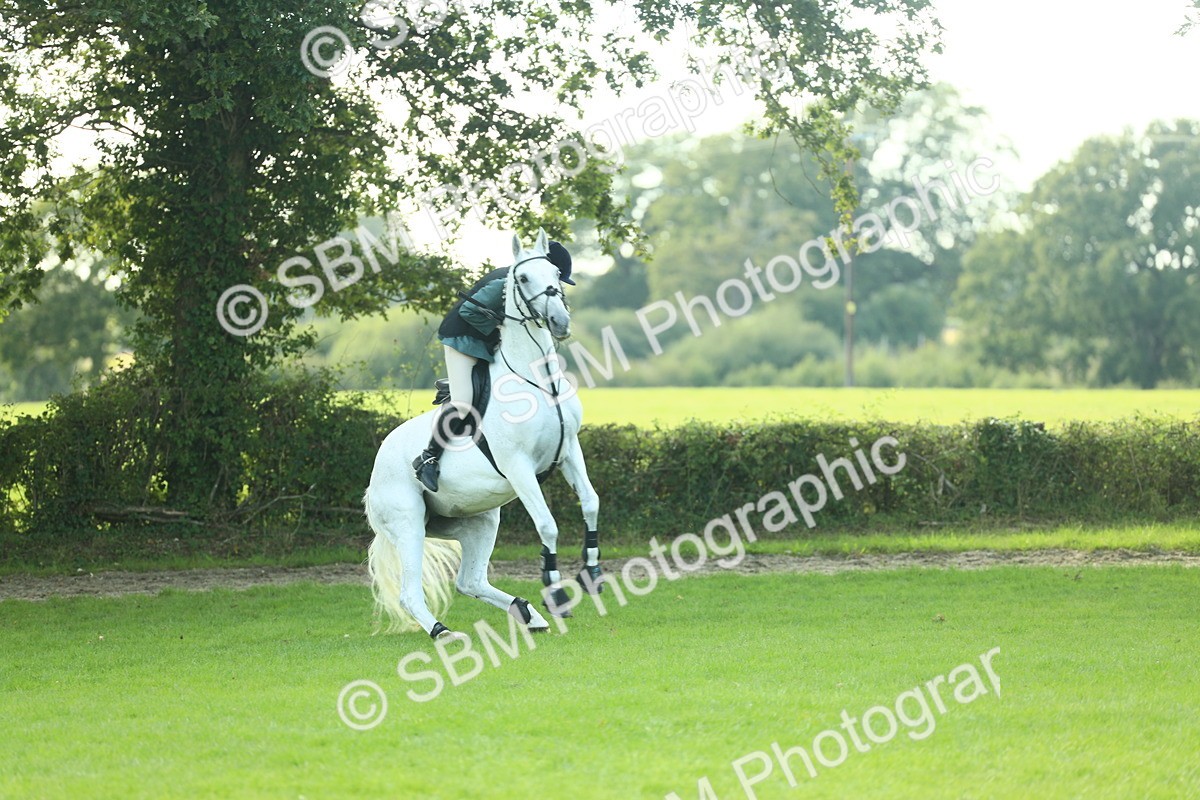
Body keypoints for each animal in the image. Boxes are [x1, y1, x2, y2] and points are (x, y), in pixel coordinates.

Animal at [363, 229, 603, 640]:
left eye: (556, 273)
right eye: (523, 278)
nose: (559, 321)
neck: (539, 380)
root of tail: (373, 475)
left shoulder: (570, 450)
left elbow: (590, 503)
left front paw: (591, 573)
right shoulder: (518, 466)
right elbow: (547, 524)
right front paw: (555, 591)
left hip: (480, 520)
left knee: (469, 581)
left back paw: (527, 614)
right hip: (409, 522)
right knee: (411, 593)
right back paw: (443, 631)